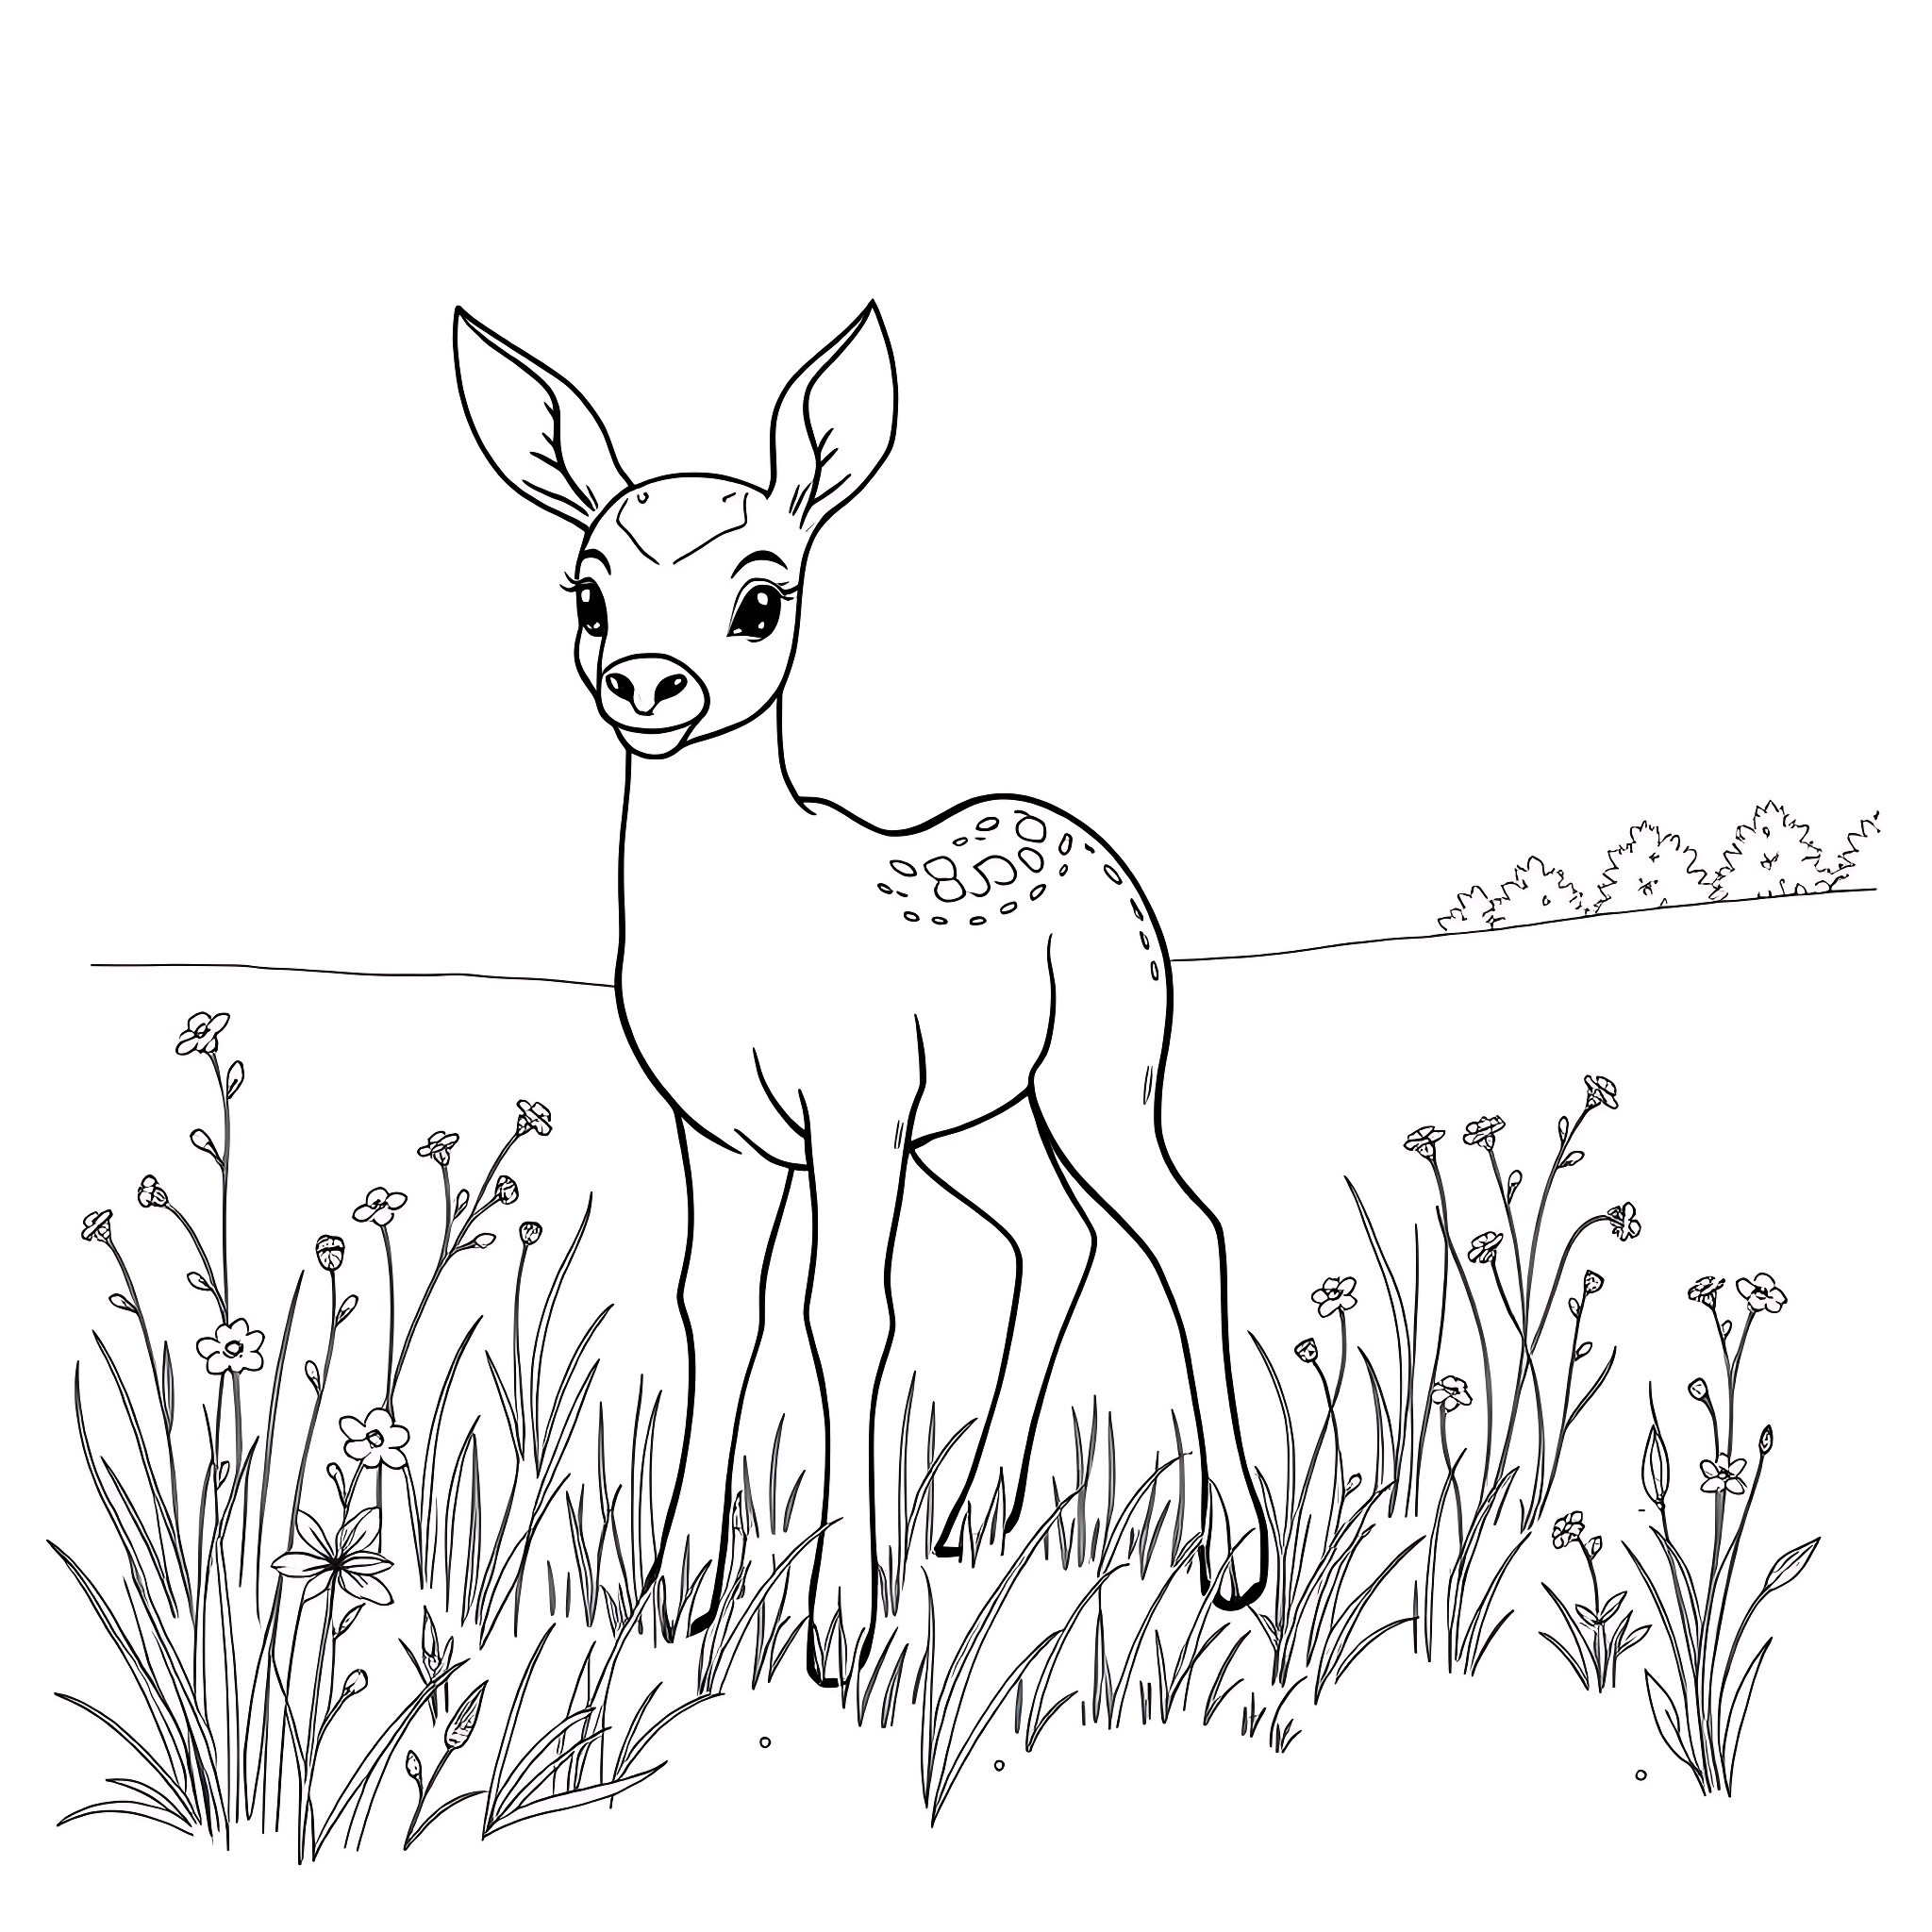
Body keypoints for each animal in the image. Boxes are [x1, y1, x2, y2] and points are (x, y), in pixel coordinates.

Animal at [452, 303, 1268, 1683]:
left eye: (760, 598)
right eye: (589, 590)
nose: (648, 684)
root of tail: (1099, 851)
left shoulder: (851, 1106)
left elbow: (847, 1314)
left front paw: (841, 1623)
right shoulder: (719, 1129)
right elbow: (714, 1310)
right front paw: (678, 1592)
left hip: (1101, 1070)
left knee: (1184, 1227)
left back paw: (1236, 1560)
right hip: (976, 1117)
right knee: (1056, 1235)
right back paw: (973, 1516)